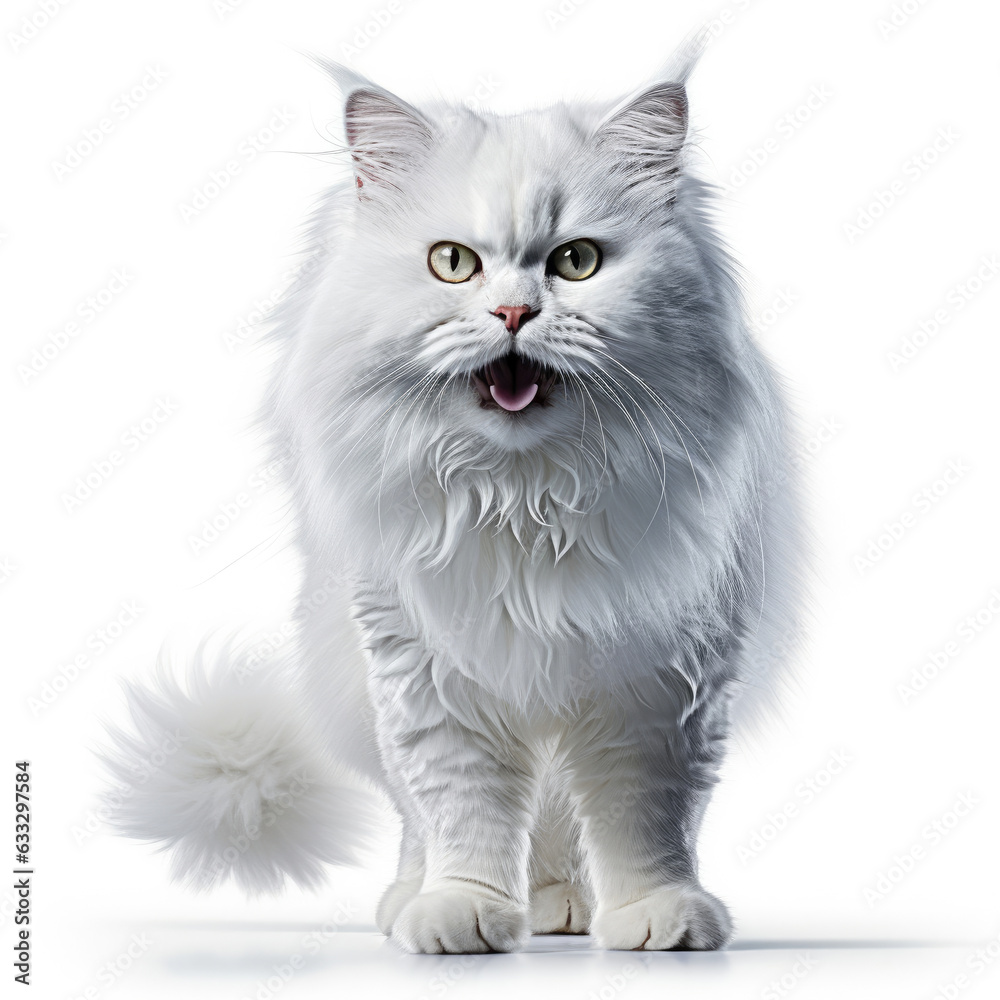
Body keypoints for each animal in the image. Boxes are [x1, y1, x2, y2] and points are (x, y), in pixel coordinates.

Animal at [101, 50, 804, 956]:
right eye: (453, 263)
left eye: (577, 262)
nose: (513, 312)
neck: (527, 499)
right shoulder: (430, 672)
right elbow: (462, 810)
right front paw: (462, 914)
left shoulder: (663, 677)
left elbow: (644, 815)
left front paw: (659, 916)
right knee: (421, 819)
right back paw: (419, 901)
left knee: (558, 827)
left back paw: (563, 907)